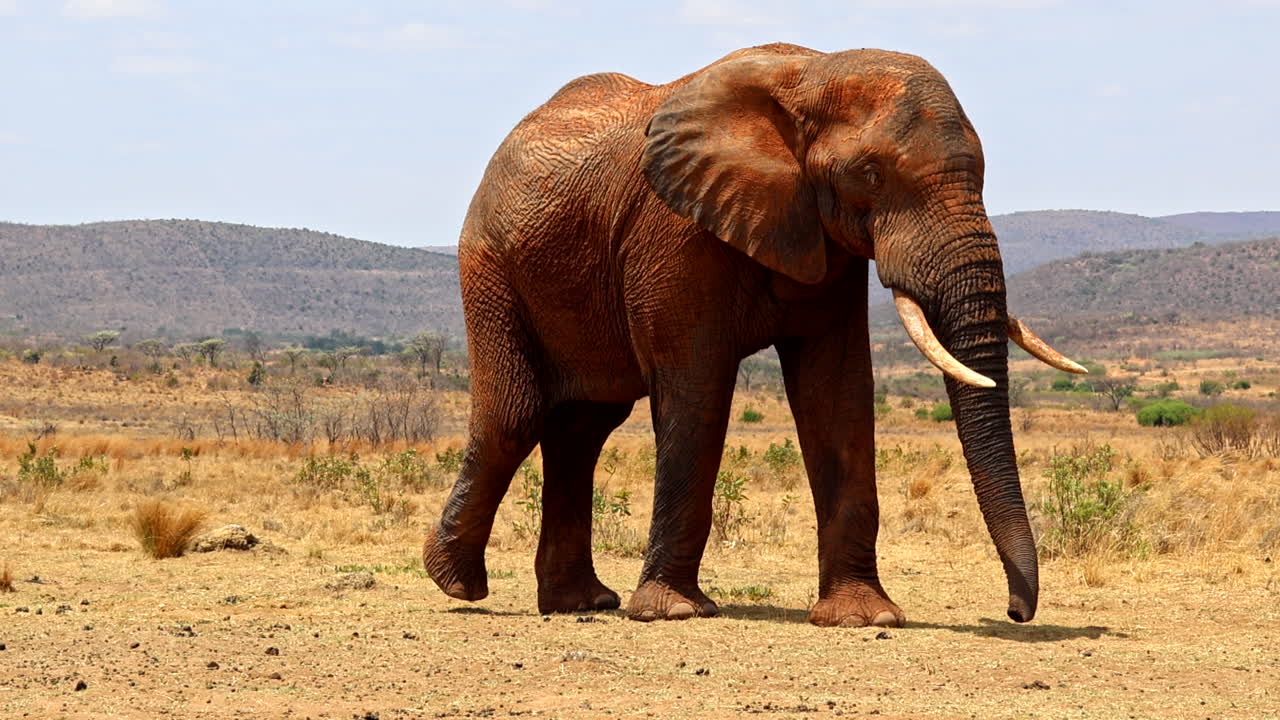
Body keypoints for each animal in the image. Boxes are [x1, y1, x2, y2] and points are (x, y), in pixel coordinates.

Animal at [422, 42, 1085, 627]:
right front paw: (673, 612)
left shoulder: (825, 240)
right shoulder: (676, 231)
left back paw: (579, 603)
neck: (813, 75)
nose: (1015, 611)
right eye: (870, 174)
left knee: (583, 429)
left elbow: (836, 394)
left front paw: (864, 616)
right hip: (490, 267)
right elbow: (697, 391)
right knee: (515, 416)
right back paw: (456, 584)